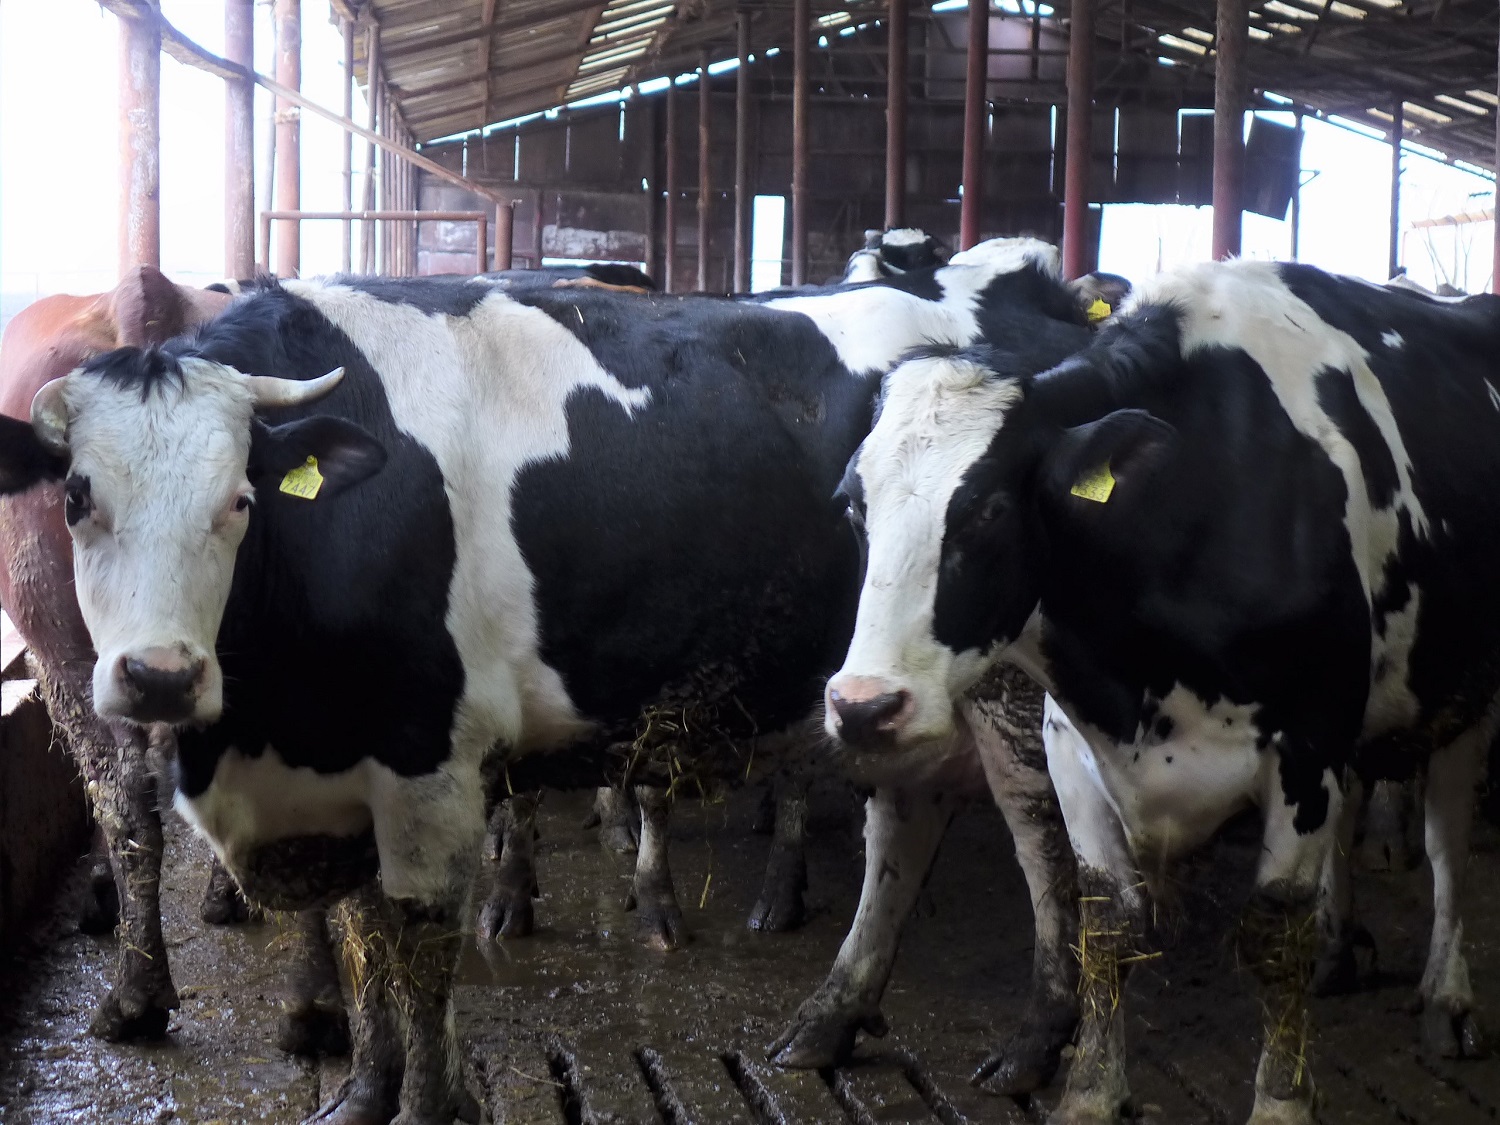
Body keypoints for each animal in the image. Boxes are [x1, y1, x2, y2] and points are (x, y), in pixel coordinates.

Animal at [828, 255, 1500, 1125]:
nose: (863, 705)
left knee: (1448, 841)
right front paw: (1089, 1092)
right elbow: (1107, 925)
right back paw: (1336, 947)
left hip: (1467, 692)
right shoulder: (1073, 748)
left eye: (987, 507)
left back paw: (1447, 998)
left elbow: (1272, 934)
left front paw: (1281, 1100)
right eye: (853, 504)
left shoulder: (1309, 740)